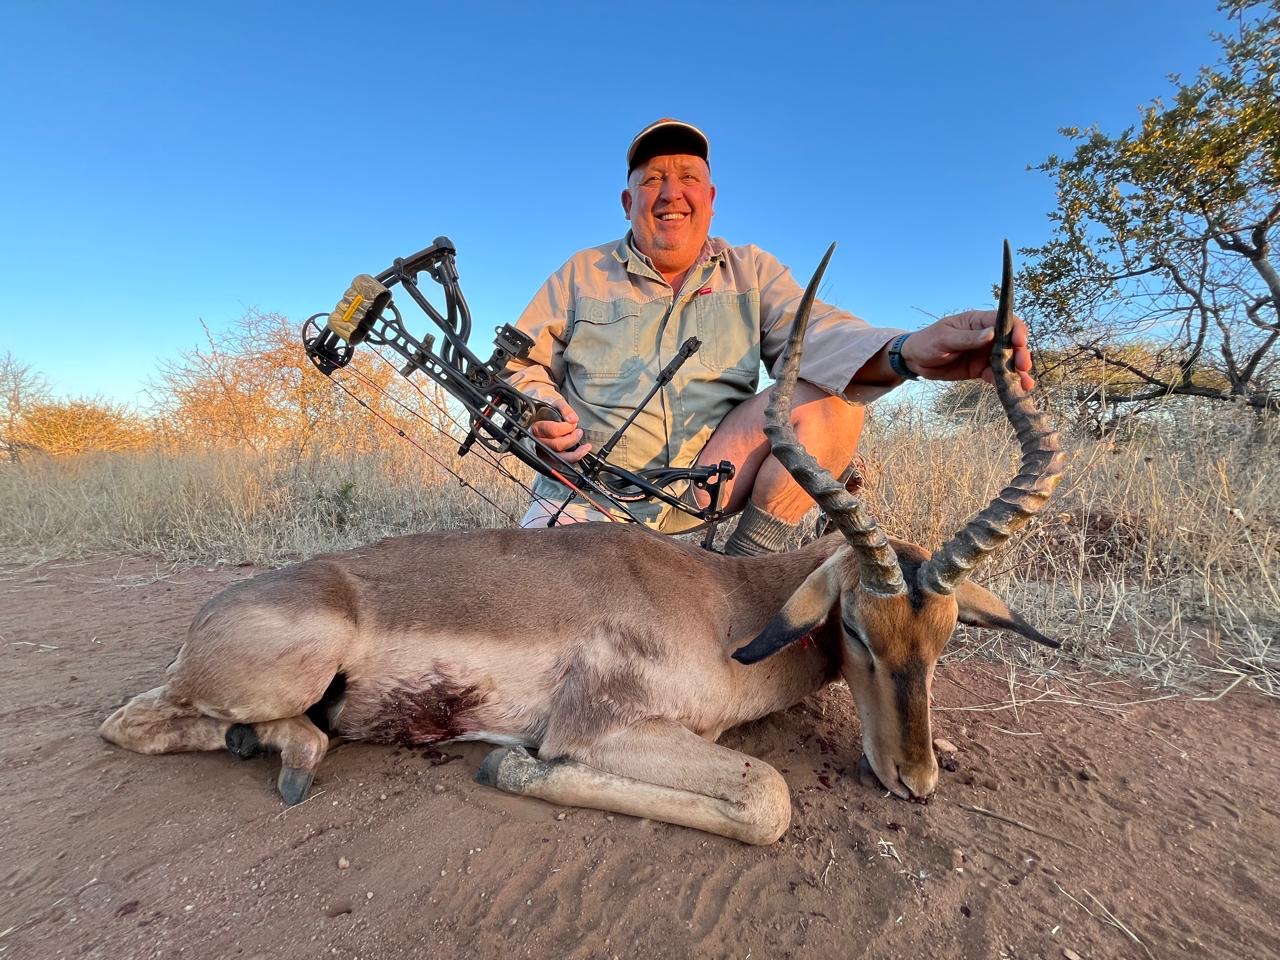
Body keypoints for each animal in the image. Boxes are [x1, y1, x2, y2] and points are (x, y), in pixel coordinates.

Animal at [100, 244, 1064, 844]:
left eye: (946, 637)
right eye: (859, 629)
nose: (915, 781)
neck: (722, 607)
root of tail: (211, 616)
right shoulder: (602, 726)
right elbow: (767, 794)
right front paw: (509, 767)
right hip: (289, 671)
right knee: (131, 722)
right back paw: (289, 757)